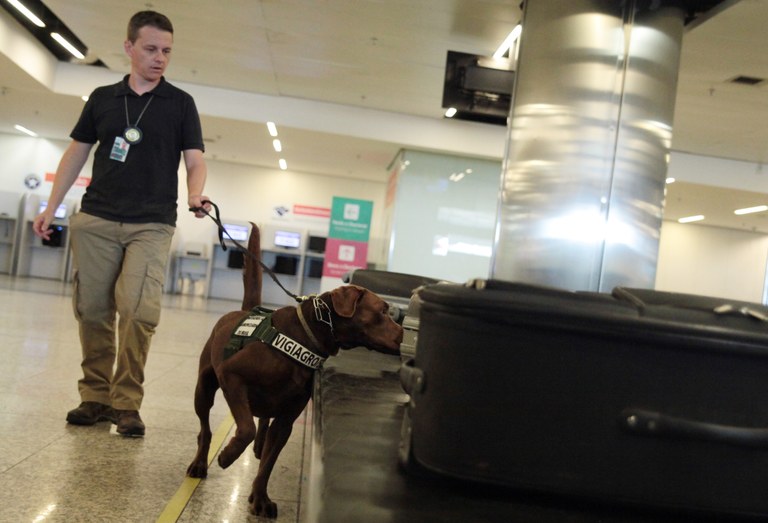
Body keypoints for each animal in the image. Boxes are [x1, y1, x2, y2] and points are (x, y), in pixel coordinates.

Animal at [186, 226, 402, 520]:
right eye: (382, 310)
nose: (403, 334)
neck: (305, 337)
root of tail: (243, 310)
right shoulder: (232, 376)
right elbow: (245, 428)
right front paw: (228, 455)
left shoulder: (286, 420)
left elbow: (268, 463)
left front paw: (260, 498)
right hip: (205, 386)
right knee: (205, 429)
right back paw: (200, 462)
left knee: (261, 429)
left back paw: (257, 447)